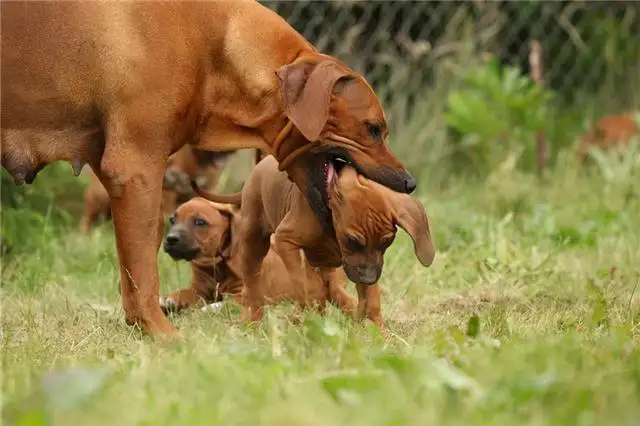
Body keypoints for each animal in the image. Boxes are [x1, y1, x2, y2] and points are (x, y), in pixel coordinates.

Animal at [190, 156, 438, 330]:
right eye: (351, 240)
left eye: (388, 242)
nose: (369, 278)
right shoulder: (285, 240)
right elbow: (308, 288)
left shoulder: (365, 266)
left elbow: (370, 302)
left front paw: (379, 335)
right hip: (255, 242)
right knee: (255, 289)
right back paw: (256, 322)